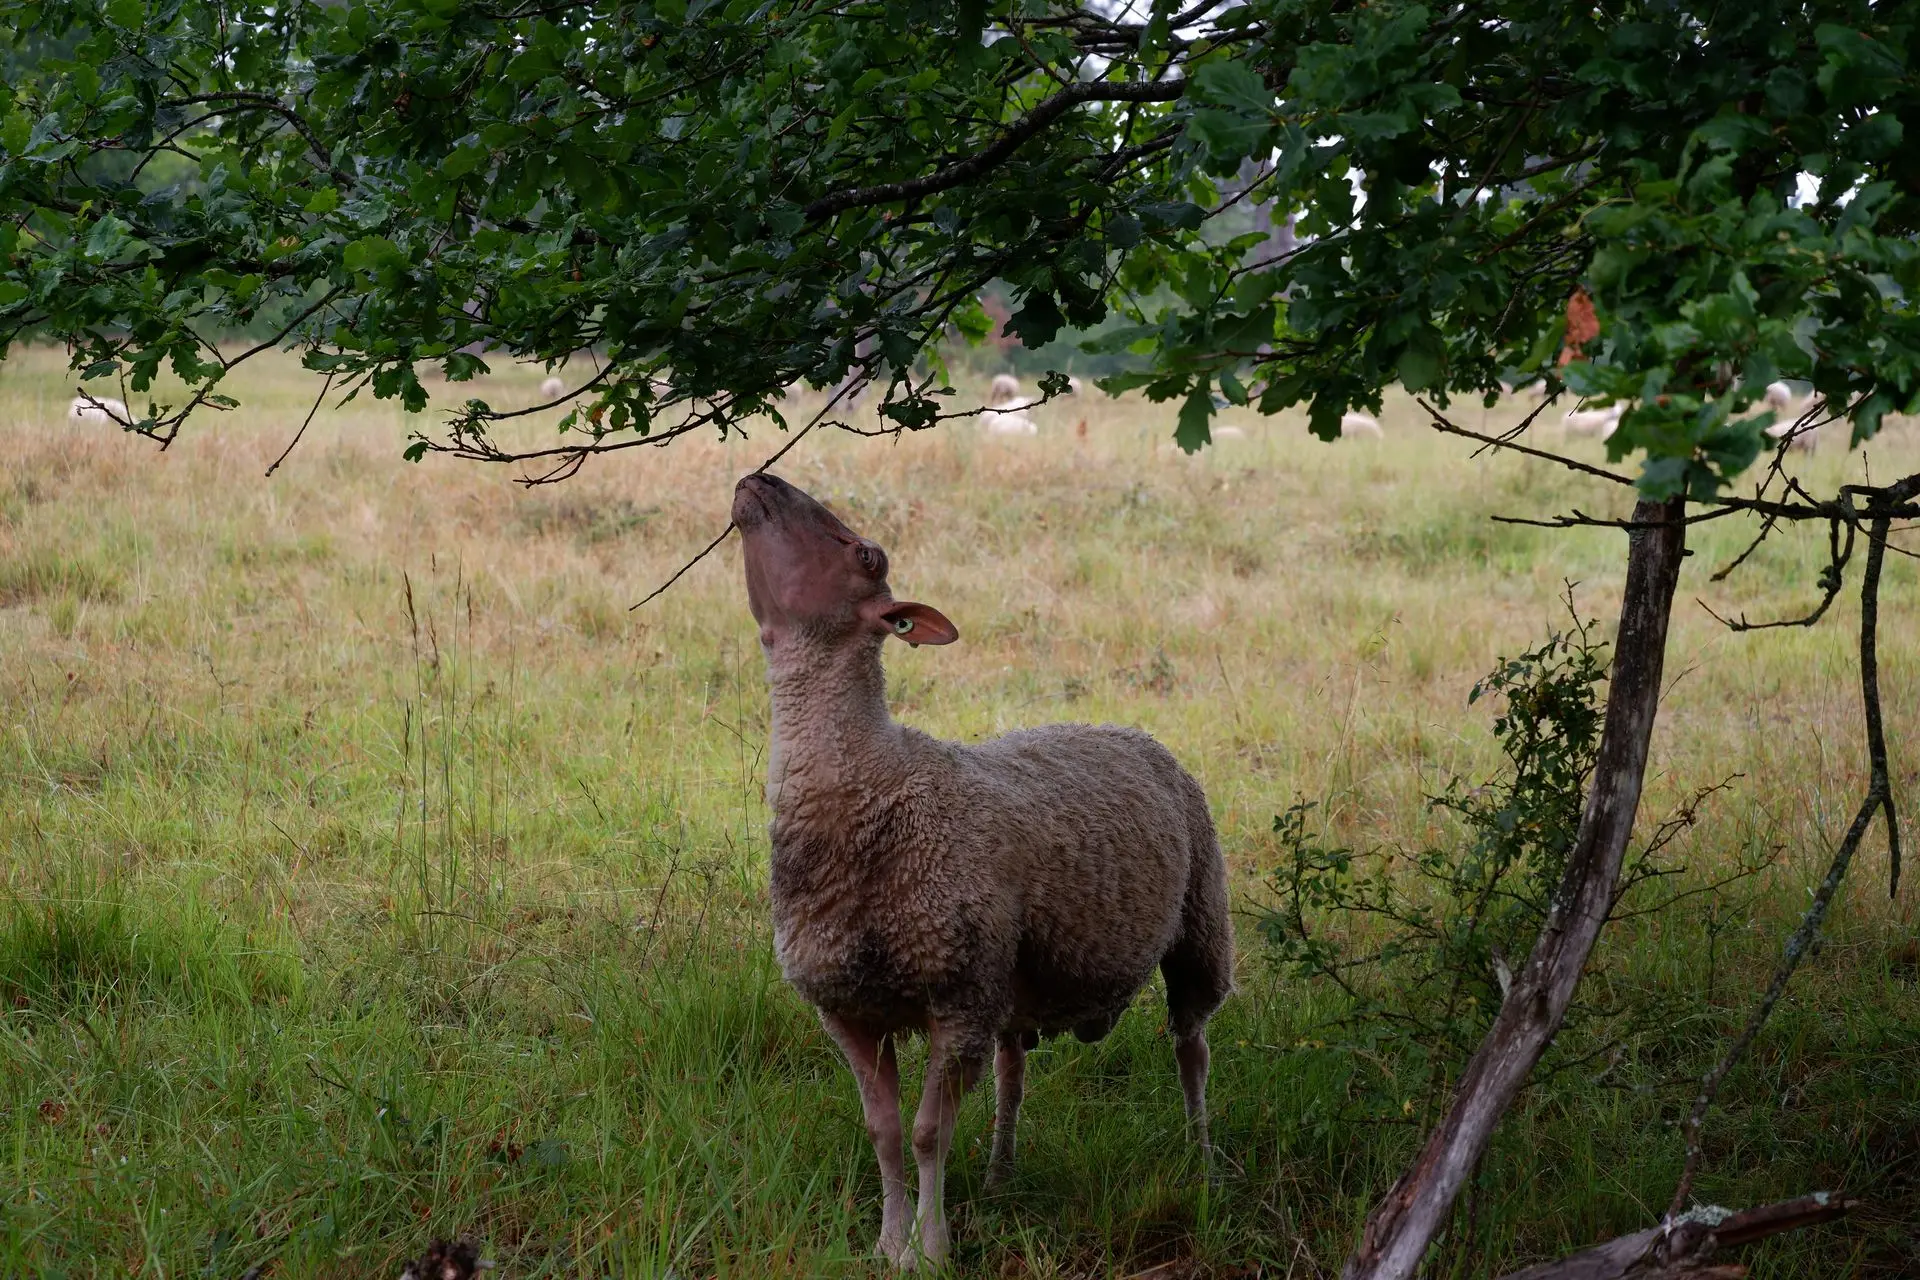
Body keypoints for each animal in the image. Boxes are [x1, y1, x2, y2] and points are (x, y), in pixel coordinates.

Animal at [733, 473, 1233, 1269]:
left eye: (867, 554)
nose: (762, 479)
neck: (871, 783)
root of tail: (1125, 727)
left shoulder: (956, 997)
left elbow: (927, 1133)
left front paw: (931, 1250)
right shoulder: (849, 1010)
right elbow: (882, 1133)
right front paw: (888, 1244)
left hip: (1200, 926)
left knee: (1193, 1047)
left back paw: (1202, 1159)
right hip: (1014, 979)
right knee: (1013, 1075)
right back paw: (1002, 1176)